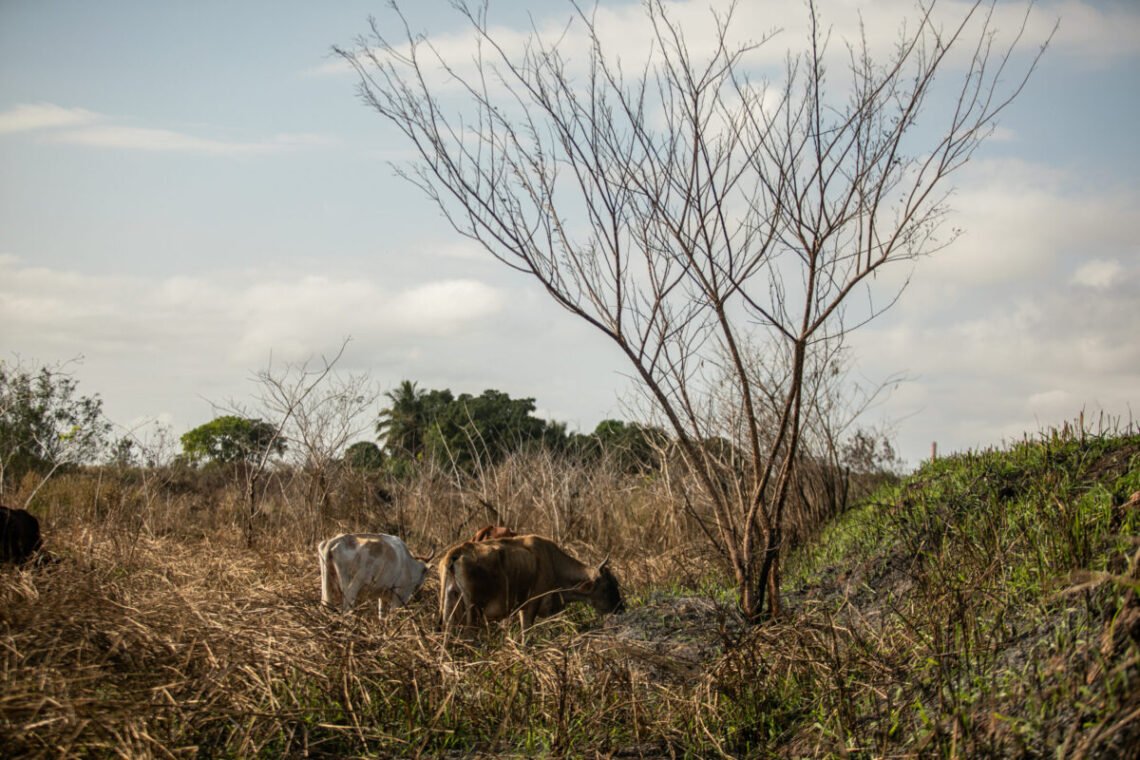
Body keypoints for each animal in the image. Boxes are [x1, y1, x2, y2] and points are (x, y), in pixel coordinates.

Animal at [442, 533, 624, 633]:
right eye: (607, 586)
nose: (620, 608)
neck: (552, 562)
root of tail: (457, 553)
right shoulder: (530, 606)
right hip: (473, 615)